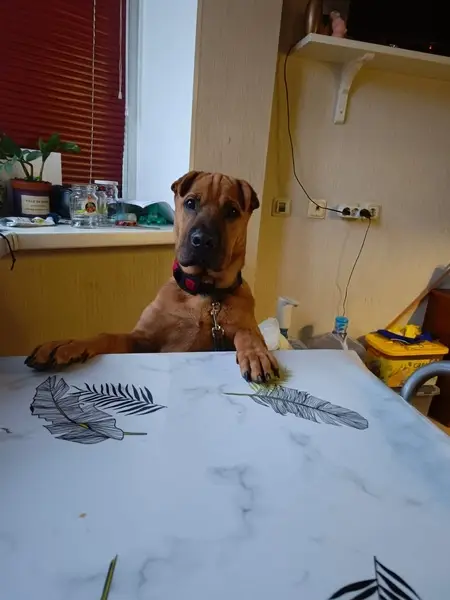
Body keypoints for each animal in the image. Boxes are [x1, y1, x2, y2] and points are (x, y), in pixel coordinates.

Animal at [25, 171, 279, 382]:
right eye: (190, 203)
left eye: (232, 211)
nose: (202, 241)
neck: (203, 293)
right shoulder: (141, 339)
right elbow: (106, 336)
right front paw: (68, 345)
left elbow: (247, 333)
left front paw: (256, 353)